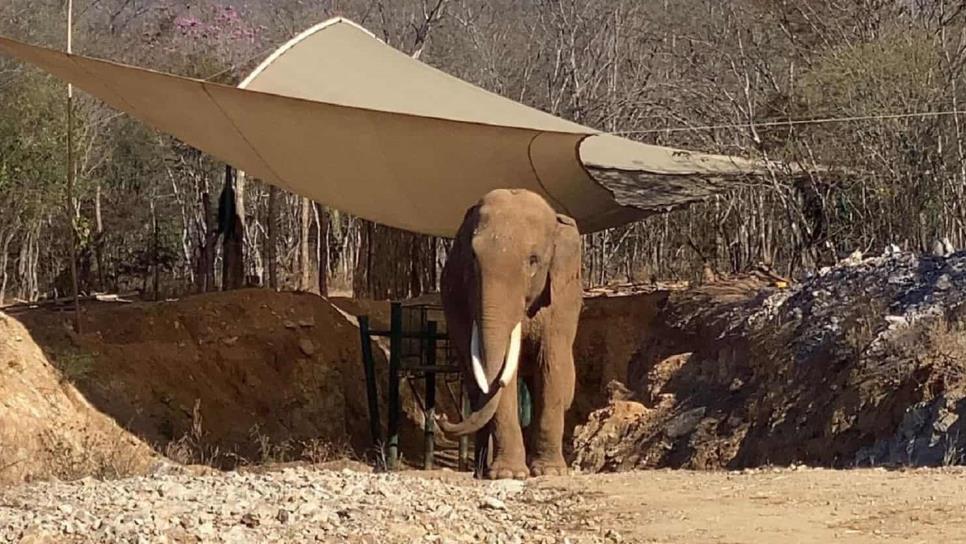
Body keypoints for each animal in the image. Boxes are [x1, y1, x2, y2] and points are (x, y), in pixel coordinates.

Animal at [436, 188, 584, 480]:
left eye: (533, 260)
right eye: (473, 258)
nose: (440, 417)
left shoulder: (561, 299)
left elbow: (551, 365)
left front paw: (550, 471)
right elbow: (502, 377)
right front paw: (508, 474)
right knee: (477, 388)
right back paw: (481, 470)